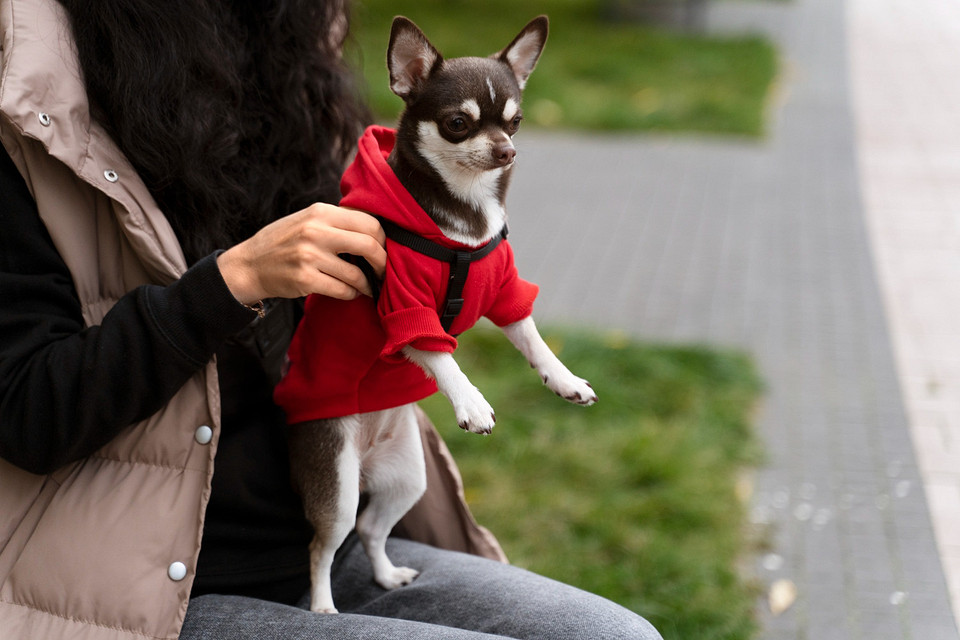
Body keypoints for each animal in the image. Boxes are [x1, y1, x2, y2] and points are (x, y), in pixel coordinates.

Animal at [274, 16, 596, 616]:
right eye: (457, 124)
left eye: (515, 121)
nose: (506, 150)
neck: (465, 218)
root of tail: (367, 456)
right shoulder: (404, 309)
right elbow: (443, 357)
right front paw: (471, 402)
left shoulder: (505, 293)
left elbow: (533, 339)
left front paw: (563, 380)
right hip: (336, 481)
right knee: (322, 545)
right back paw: (324, 606)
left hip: (408, 480)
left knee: (372, 530)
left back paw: (386, 576)